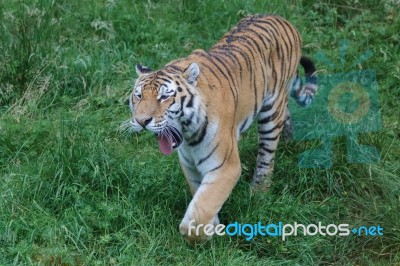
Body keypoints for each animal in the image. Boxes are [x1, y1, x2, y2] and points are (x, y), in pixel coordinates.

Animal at [126, 14, 318, 243]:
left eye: (164, 97)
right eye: (138, 96)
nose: (141, 121)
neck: (188, 136)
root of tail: (282, 19)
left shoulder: (226, 166)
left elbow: (201, 210)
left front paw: (203, 234)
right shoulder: (190, 165)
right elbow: (200, 197)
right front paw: (214, 227)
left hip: (271, 112)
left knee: (267, 156)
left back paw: (259, 192)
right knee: (285, 115)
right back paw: (288, 140)